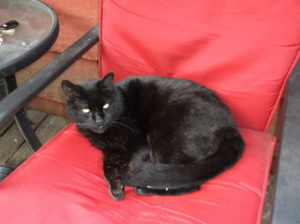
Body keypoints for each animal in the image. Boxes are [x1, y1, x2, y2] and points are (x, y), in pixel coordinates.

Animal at [61, 72, 244, 200]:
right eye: (85, 109)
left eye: (106, 105)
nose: (99, 120)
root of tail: (231, 128)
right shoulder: (111, 151)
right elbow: (106, 167)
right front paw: (116, 187)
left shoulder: (140, 144)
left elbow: (131, 163)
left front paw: (128, 176)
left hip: (162, 137)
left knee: (186, 183)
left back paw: (144, 188)